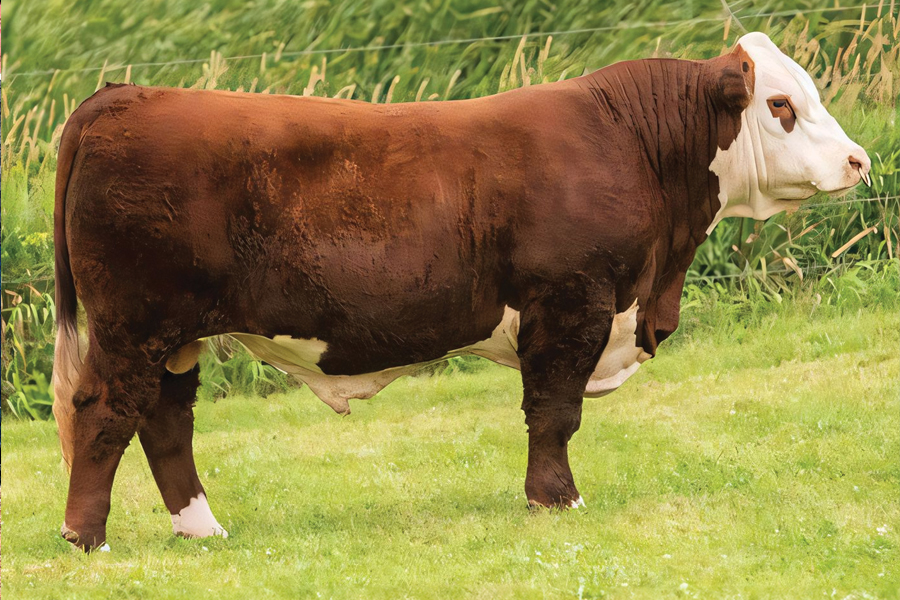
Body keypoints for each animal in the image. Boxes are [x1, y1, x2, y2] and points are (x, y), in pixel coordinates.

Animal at [52, 32, 870, 550]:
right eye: (780, 105)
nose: (860, 160)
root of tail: (124, 95)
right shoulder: (570, 303)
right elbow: (554, 413)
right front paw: (558, 500)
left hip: (174, 335)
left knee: (164, 422)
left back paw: (202, 530)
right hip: (133, 322)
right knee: (103, 411)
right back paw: (85, 539)